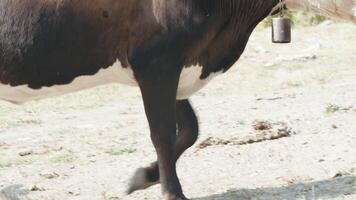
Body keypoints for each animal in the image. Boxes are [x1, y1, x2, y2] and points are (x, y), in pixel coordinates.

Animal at [0, 0, 354, 200]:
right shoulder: (157, 60)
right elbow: (163, 135)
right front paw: (173, 193)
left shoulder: (177, 64)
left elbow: (189, 129)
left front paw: (144, 176)